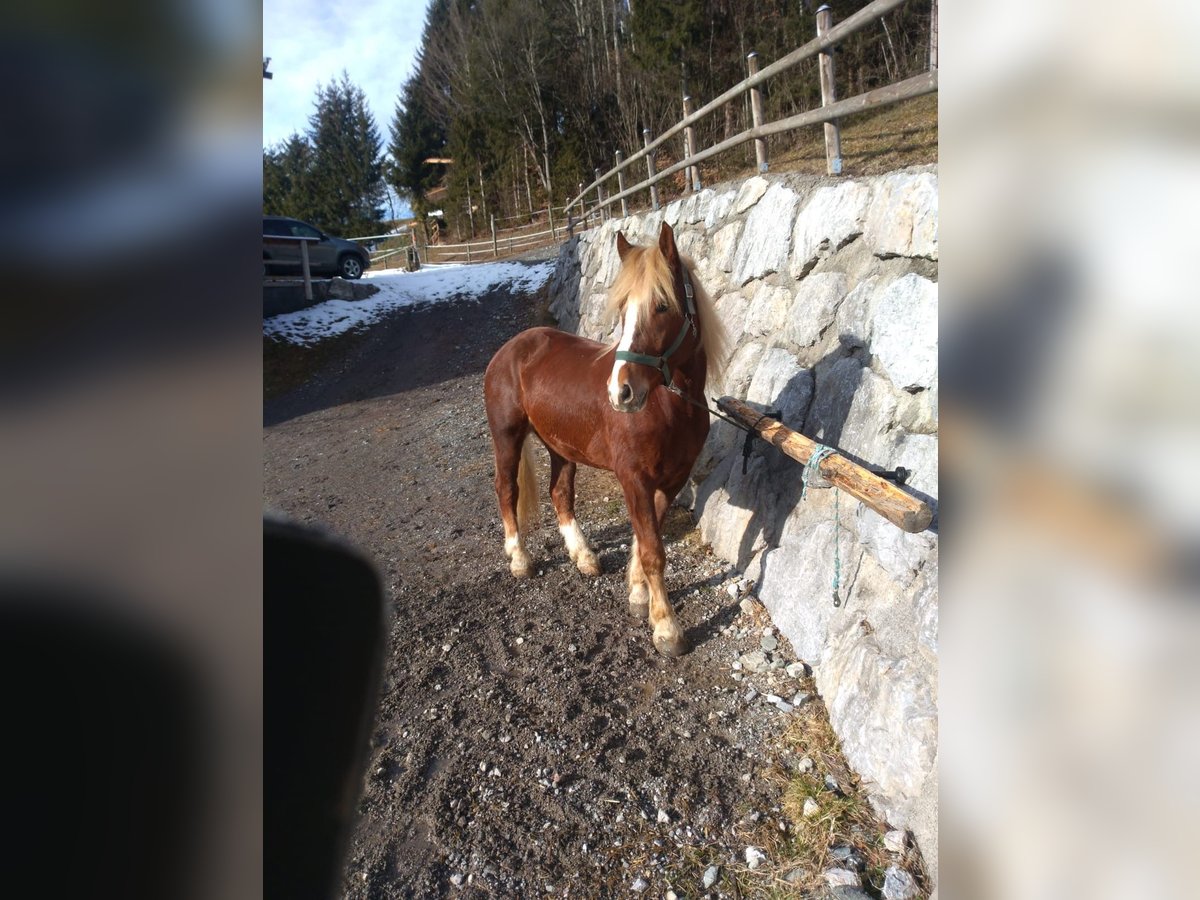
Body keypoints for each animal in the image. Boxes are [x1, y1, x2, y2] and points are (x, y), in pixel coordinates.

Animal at [482, 222, 724, 657]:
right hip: (506, 436)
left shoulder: (671, 480)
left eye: (662, 306)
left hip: (560, 445)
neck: (670, 405)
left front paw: (639, 597)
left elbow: (645, 540)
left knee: (559, 492)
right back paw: (519, 558)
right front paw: (667, 629)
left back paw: (583, 556)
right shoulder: (635, 478)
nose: (620, 392)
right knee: (506, 489)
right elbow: (652, 549)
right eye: (623, 308)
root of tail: (511, 348)